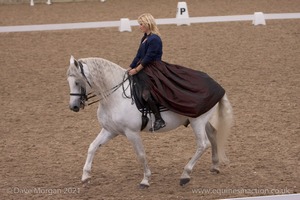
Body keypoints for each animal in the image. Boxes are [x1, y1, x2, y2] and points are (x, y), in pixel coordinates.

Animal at [67, 55, 233, 188]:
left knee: (202, 144)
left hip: (197, 121)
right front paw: (85, 176)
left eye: (77, 82)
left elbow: (141, 155)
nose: (73, 107)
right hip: (202, 120)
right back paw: (215, 166)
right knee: (212, 135)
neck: (115, 96)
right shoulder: (110, 130)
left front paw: (145, 180)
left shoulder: (132, 132)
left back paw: (185, 175)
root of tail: (218, 86)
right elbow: (92, 147)